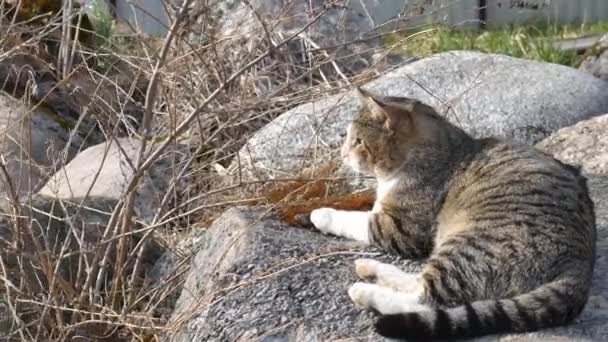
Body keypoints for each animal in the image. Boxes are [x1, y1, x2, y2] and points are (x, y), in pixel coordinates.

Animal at [312, 88, 596, 340]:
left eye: (358, 141)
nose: (342, 154)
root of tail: (580, 262)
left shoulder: (401, 228)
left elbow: (357, 219)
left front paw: (321, 214)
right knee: (419, 283)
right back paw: (371, 268)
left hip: (471, 247)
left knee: (426, 299)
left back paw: (365, 291)